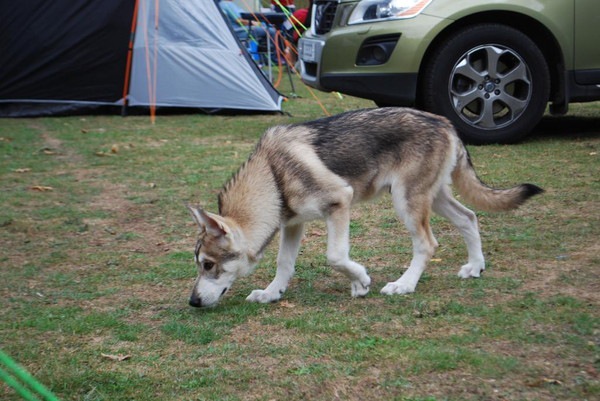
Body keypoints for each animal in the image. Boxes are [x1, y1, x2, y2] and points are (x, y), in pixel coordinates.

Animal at [188, 106, 544, 306]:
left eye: (208, 265)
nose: (192, 302)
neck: (273, 175)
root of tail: (446, 122)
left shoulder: (339, 203)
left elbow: (336, 257)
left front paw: (360, 282)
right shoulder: (293, 224)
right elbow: (284, 264)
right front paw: (271, 294)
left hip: (406, 203)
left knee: (428, 244)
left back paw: (404, 285)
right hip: (433, 198)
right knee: (469, 218)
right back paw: (475, 267)